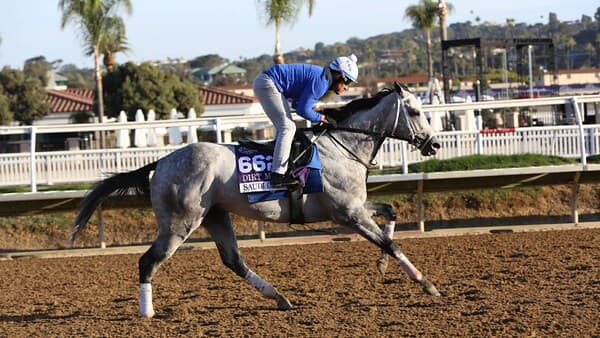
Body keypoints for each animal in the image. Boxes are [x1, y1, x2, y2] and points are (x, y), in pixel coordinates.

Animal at [72, 82, 442, 316]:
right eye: (413, 111)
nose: (435, 144)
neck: (343, 147)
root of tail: (161, 162)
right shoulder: (348, 214)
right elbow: (391, 244)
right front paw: (427, 284)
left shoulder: (352, 208)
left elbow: (390, 213)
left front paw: (382, 266)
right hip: (179, 223)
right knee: (148, 262)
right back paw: (146, 313)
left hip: (215, 215)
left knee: (233, 261)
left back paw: (279, 298)